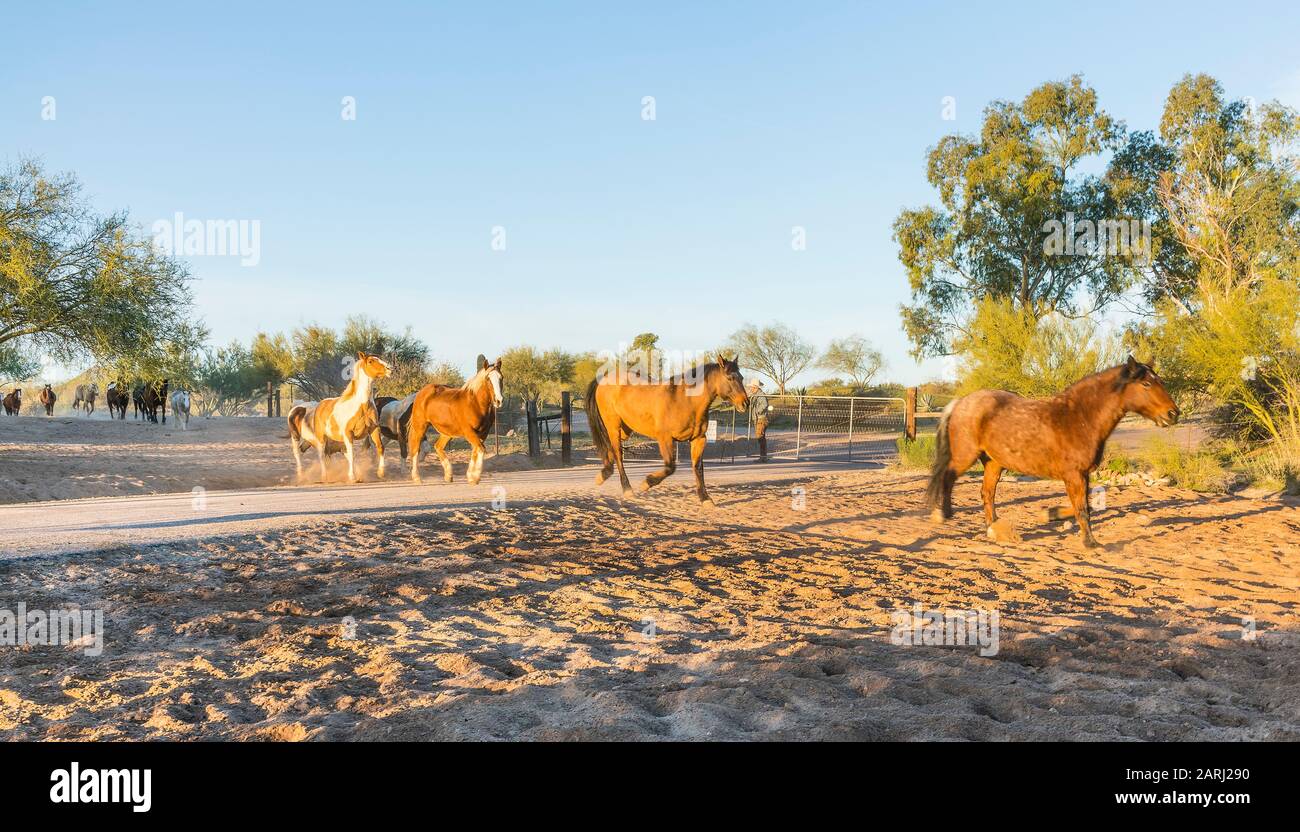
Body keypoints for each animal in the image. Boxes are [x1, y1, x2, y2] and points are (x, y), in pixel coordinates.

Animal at [288, 352, 392, 482]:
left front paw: (381, 472)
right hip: (313, 438)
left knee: (309, 452)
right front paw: (352, 477)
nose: (389, 369)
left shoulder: (374, 429)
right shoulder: (348, 434)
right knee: (312, 454)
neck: (362, 406)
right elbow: (352, 454)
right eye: (371, 361)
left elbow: (380, 447)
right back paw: (318, 476)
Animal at [404, 356, 502, 485]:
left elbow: (476, 451)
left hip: (447, 432)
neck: (475, 404)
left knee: (438, 446)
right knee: (415, 448)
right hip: (420, 426)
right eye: (488, 379)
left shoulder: (483, 433)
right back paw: (417, 477)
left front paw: (470, 476)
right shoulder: (469, 432)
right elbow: (480, 449)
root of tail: (421, 393)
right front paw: (475, 477)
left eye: (501, 378)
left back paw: (448, 475)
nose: (499, 400)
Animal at [585, 353, 749, 505]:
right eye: (730, 378)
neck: (685, 401)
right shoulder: (665, 439)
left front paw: (705, 499)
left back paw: (603, 475)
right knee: (618, 454)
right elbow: (670, 467)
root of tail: (604, 379)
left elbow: (698, 468)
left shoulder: (699, 439)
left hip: (625, 430)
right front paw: (646, 483)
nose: (745, 403)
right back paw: (627, 489)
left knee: (610, 449)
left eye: (741, 377)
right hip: (613, 426)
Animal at [926, 356, 1180, 549]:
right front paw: (1090, 543)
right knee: (948, 477)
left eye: (1160, 381)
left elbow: (1084, 506)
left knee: (987, 493)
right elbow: (1082, 509)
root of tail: (960, 402)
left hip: (994, 462)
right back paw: (943, 514)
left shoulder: (1083, 475)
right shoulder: (1074, 475)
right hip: (965, 456)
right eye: (1146, 384)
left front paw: (1054, 514)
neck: (1080, 418)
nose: (1173, 414)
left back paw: (993, 528)